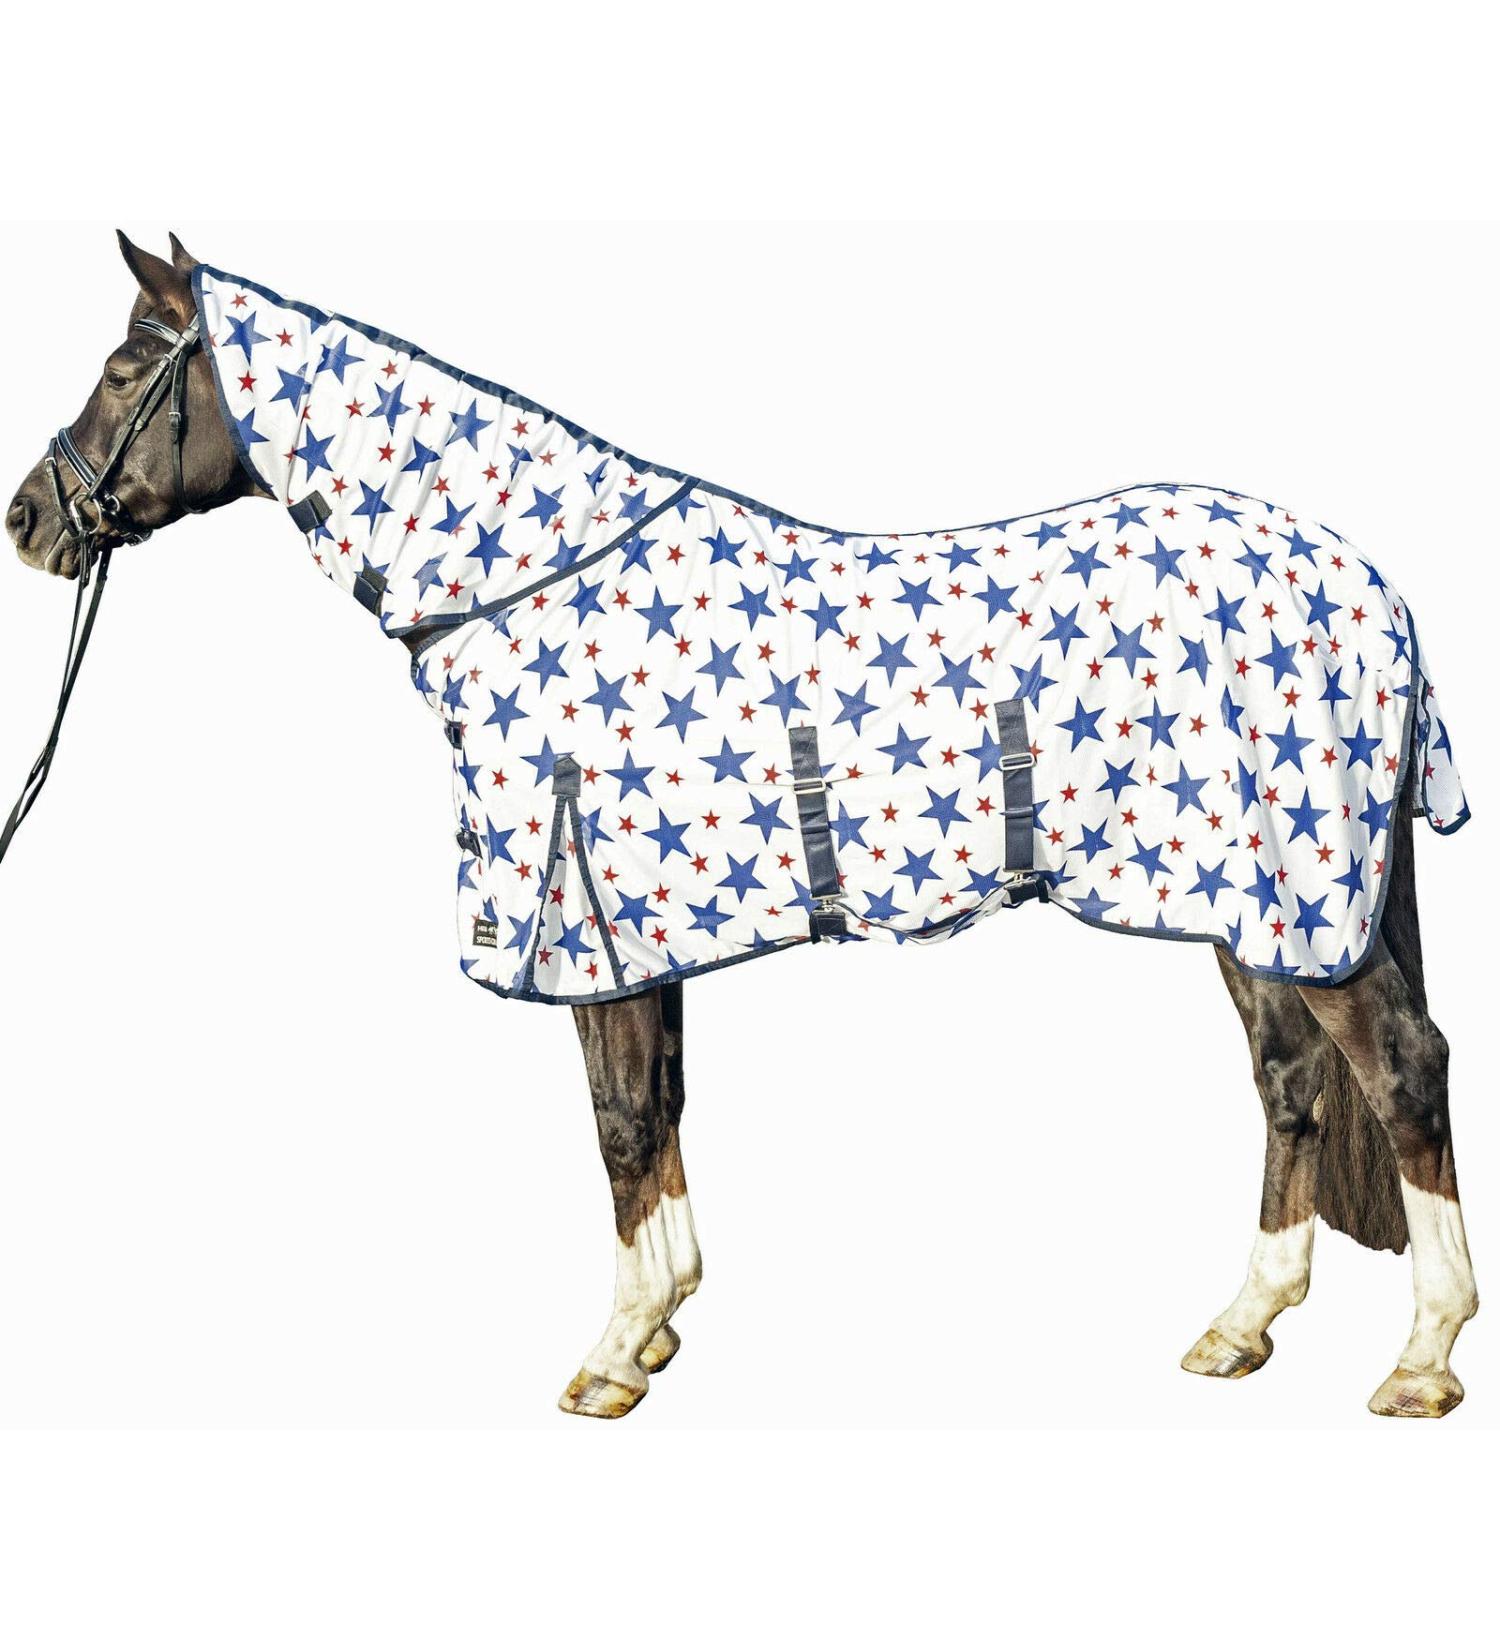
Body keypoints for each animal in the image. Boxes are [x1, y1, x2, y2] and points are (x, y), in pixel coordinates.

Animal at [3, 232, 1478, 1419]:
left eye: (128, 365)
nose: (30, 520)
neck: (531, 589)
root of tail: (1371, 584)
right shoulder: (637, 939)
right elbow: (653, 1110)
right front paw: (659, 1321)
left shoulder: (588, 936)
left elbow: (615, 1125)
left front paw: (609, 1356)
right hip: (1251, 908)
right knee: (1292, 1085)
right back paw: (1240, 1329)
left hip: (1309, 907)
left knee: (1404, 1069)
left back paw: (1422, 1360)